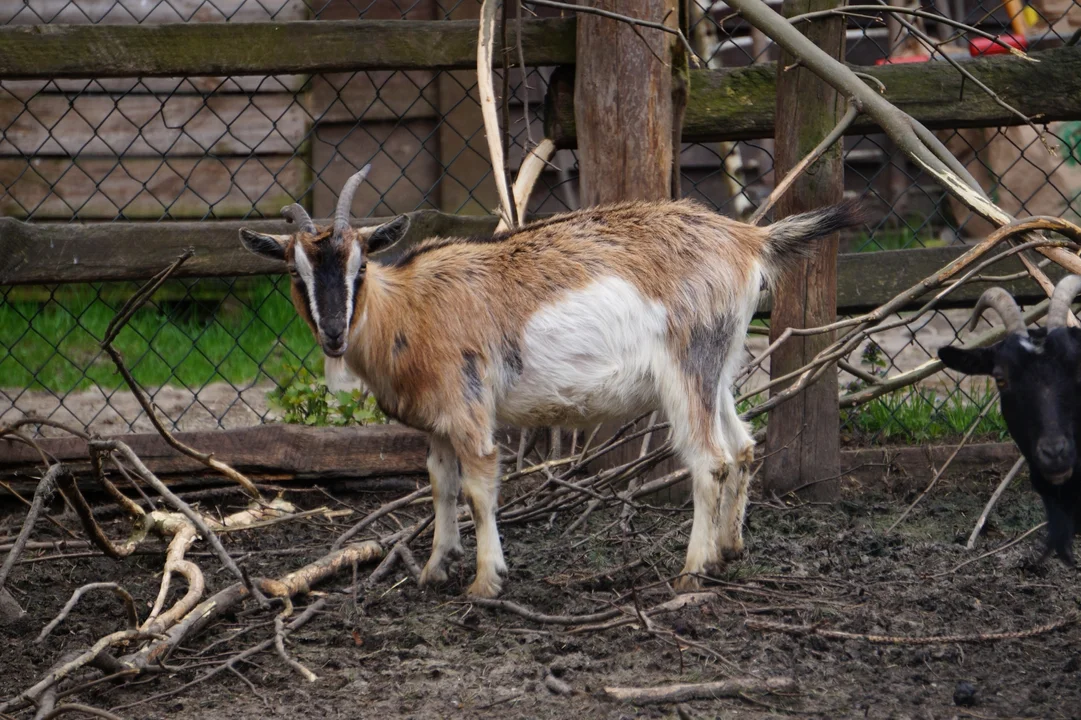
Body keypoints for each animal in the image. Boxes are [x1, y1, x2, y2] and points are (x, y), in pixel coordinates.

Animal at [241, 166, 864, 592]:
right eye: (294, 273)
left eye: (361, 265)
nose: (333, 335)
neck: (409, 308)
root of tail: (747, 239)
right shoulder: (437, 423)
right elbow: (440, 485)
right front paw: (434, 568)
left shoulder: (470, 410)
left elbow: (478, 487)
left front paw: (486, 581)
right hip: (718, 365)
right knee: (742, 447)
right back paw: (730, 549)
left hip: (686, 366)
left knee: (708, 459)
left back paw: (691, 571)